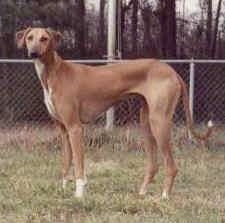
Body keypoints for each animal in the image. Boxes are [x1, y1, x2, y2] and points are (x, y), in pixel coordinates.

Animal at [15, 27, 213, 199]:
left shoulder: (75, 128)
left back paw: (164, 196)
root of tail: (171, 70)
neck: (54, 72)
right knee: (153, 165)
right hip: (146, 124)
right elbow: (66, 163)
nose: (33, 53)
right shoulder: (63, 131)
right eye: (30, 38)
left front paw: (79, 195)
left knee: (171, 166)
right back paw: (142, 193)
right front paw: (63, 190)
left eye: (44, 39)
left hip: (160, 122)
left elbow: (79, 166)